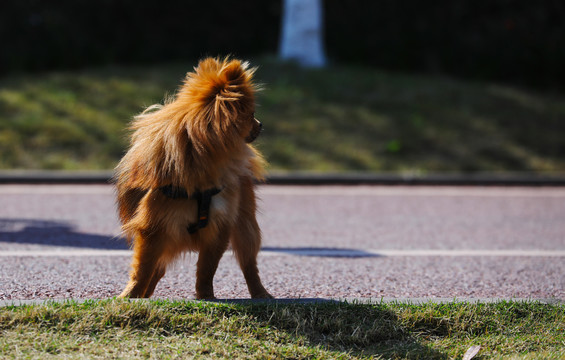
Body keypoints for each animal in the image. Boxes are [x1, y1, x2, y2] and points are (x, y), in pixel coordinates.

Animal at [113, 57, 272, 298]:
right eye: (251, 114)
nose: (261, 125)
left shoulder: (220, 225)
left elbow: (207, 268)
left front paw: (206, 296)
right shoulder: (154, 226)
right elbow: (143, 268)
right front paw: (132, 295)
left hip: (246, 225)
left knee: (249, 264)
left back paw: (260, 294)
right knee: (156, 269)